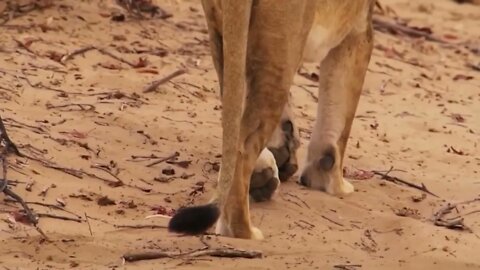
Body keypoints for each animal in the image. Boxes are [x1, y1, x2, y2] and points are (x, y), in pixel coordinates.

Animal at [169, 0, 376, 239]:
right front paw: (334, 182)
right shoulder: (359, 29)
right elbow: (339, 123)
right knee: (243, 148)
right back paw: (243, 230)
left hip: (224, 35)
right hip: (281, 53)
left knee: (236, 122)